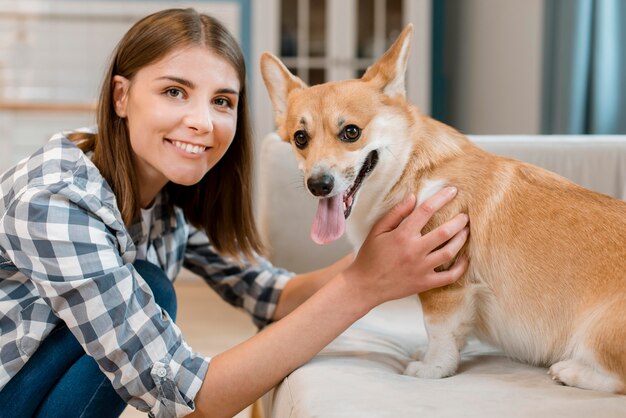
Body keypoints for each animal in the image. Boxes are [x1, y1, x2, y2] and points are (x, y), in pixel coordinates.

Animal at [258, 24, 624, 394]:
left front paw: (432, 368)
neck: (410, 170)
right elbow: (452, 334)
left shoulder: (446, 285)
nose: (318, 184)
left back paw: (571, 371)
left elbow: (438, 331)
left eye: (351, 132)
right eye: (300, 138)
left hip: (598, 331)